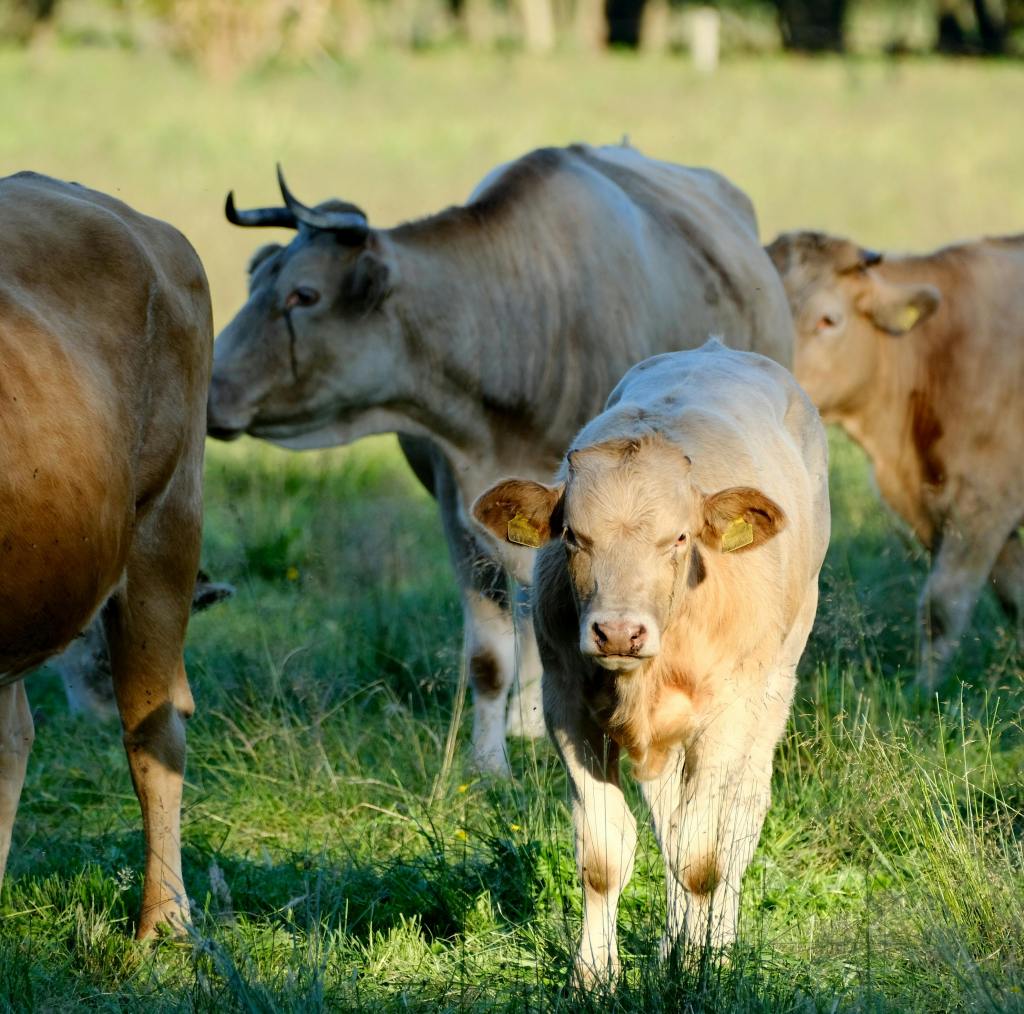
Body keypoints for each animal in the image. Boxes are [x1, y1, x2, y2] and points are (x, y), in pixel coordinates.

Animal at [206, 142, 795, 775]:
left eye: (303, 294)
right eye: (254, 281)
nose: (209, 390)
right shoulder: (464, 518)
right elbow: (491, 658)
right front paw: (489, 762)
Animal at [471, 341, 830, 982]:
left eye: (680, 538)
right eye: (573, 537)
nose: (618, 632)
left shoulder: (727, 717)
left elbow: (703, 857)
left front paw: (700, 966)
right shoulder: (568, 709)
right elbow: (607, 854)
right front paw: (596, 974)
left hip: (774, 687)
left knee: (739, 820)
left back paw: (717, 941)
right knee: (670, 823)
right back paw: (670, 942)